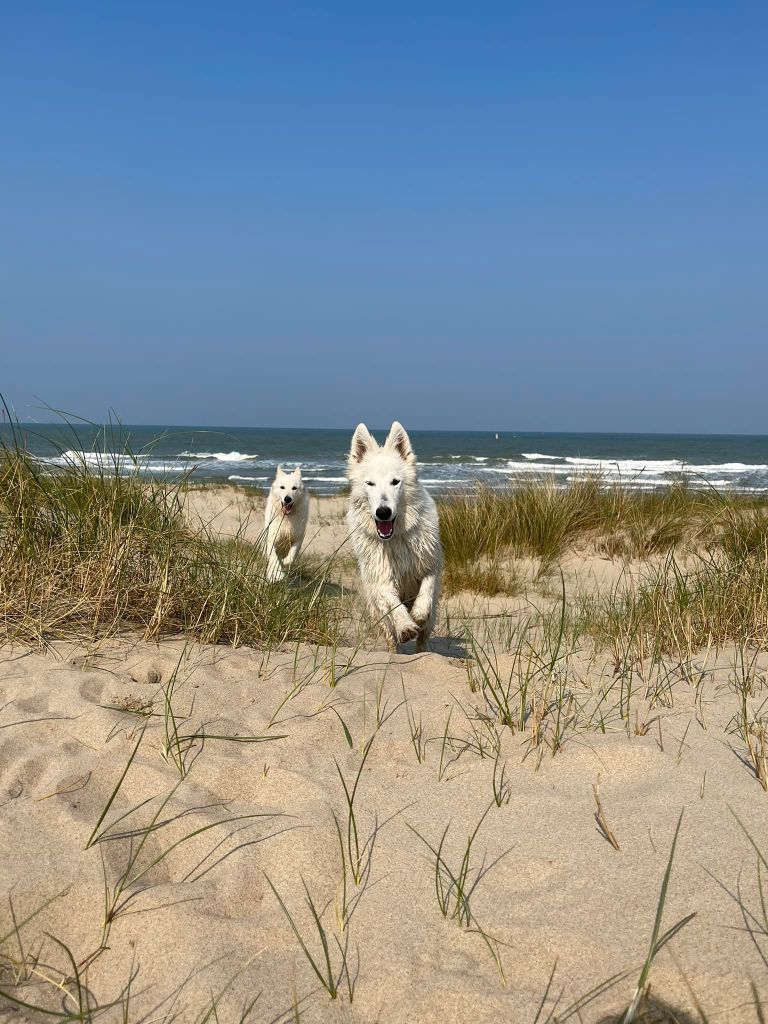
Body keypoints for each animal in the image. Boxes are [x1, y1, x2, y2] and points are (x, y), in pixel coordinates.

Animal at [346, 421, 442, 647]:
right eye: (370, 483)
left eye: (395, 482)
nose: (383, 512)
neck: (395, 538)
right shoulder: (381, 578)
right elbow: (393, 604)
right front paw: (405, 625)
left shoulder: (430, 564)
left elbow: (427, 587)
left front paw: (419, 613)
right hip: (379, 615)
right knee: (390, 634)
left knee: (424, 637)